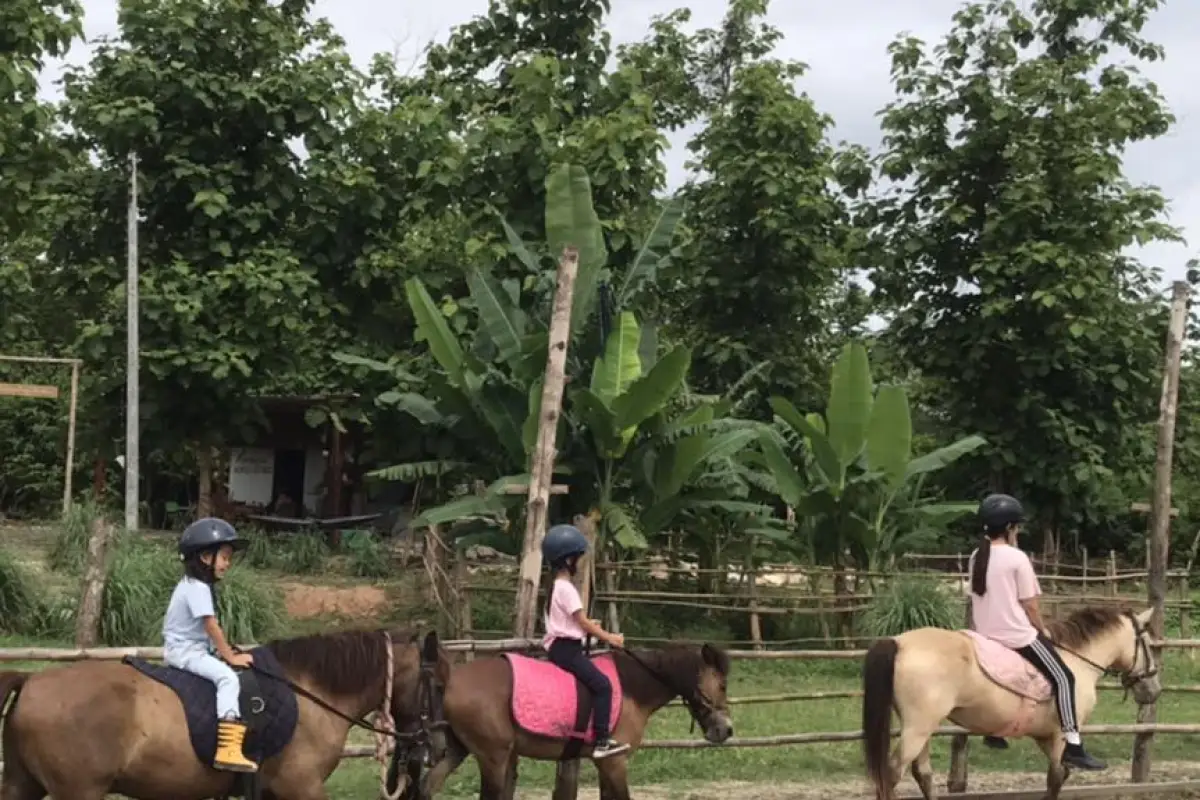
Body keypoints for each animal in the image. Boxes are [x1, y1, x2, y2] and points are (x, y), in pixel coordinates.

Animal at [0, 626, 450, 800]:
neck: (312, 693)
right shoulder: (302, 788)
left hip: (25, 785)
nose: (441, 746)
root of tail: (32, 680)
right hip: (78, 791)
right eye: (441, 685)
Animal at [420, 642, 734, 799]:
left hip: (459, 750)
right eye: (722, 685)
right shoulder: (614, 762)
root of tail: (449, 679)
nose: (726, 730)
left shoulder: (606, 765)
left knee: (427, 787)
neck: (632, 687)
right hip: (492, 757)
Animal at [861, 606, 1160, 800]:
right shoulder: (1061, 734)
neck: (1077, 659)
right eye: (1147, 643)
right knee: (892, 773)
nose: (1153, 690)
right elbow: (1057, 776)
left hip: (920, 727)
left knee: (921, 772)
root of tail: (899, 642)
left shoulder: (1043, 735)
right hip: (918, 727)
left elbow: (1057, 775)